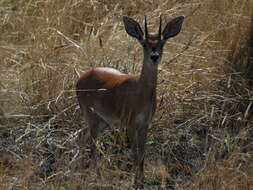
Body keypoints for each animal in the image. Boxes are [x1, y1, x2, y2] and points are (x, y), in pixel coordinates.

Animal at [75, 15, 184, 188]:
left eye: (162, 43)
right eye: (144, 43)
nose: (154, 57)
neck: (141, 93)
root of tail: (80, 79)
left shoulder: (144, 125)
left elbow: (142, 155)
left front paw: (142, 181)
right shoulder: (131, 126)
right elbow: (134, 154)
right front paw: (136, 182)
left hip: (102, 121)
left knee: (82, 137)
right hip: (90, 116)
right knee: (92, 142)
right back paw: (96, 176)